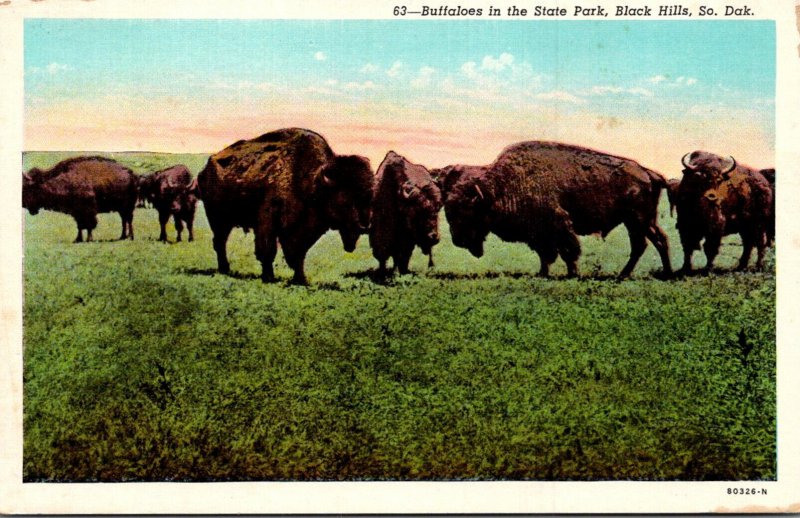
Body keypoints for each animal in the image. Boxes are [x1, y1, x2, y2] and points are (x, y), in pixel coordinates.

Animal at [200, 128, 376, 286]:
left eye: (370, 198)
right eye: (346, 199)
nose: (364, 226)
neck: (311, 181)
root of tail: (206, 167)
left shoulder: (302, 230)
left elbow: (298, 254)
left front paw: (300, 279)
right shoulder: (267, 222)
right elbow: (268, 250)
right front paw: (269, 277)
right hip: (219, 219)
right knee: (220, 242)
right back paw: (225, 269)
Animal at [440, 141, 672, 280]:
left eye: (468, 212)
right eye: (448, 212)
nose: (458, 241)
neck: (499, 188)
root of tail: (648, 172)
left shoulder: (559, 226)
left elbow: (568, 251)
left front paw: (572, 274)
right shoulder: (539, 234)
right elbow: (546, 255)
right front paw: (542, 273)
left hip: (637, 220)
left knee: (642, 244)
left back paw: (623, 275)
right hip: (644, 221)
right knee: (657, 241)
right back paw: (664, 273)